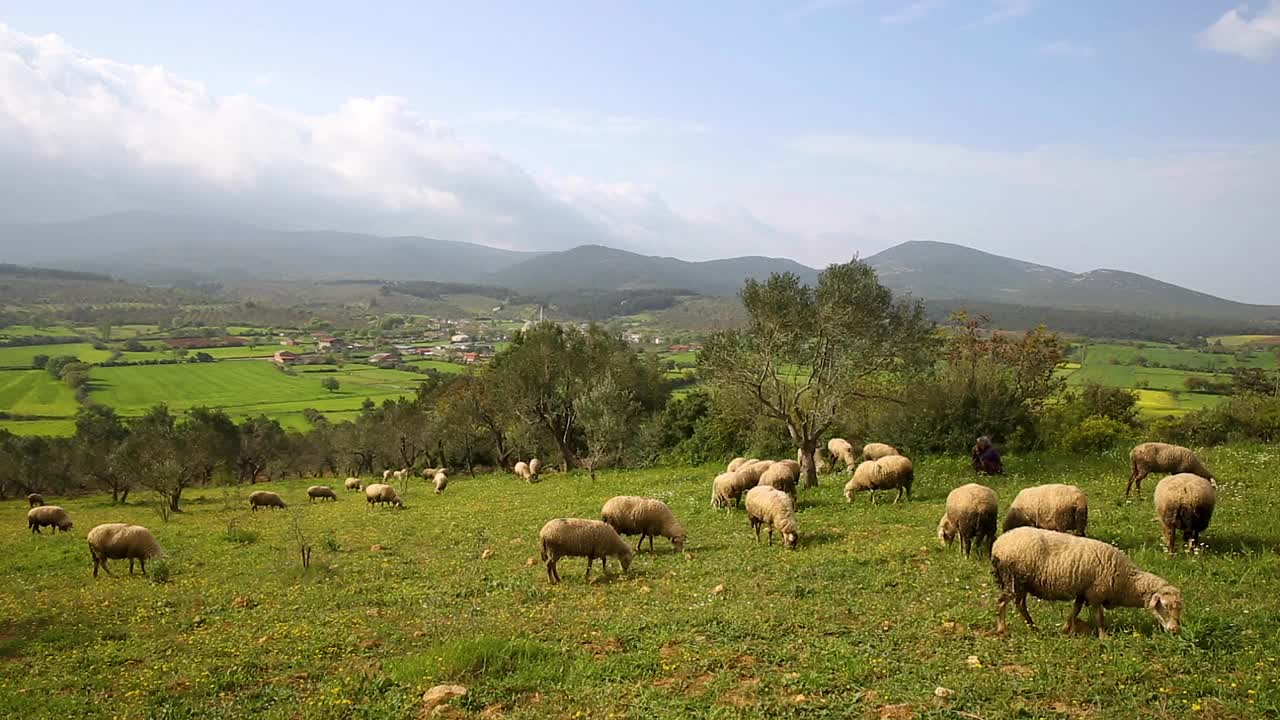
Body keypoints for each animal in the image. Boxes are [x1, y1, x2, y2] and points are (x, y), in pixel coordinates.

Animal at [993, 525, 1182, 635]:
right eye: (1165, 606)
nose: (1175, 630)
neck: (1128, 581)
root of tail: (998, 544)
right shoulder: (1096, 592)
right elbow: (1099, 617)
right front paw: (1103, 637)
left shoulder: (1083, 592)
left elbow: (1075, 611)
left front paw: (1066, 629)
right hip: (1014, 579)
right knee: (1003, 602)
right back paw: (1004, 629)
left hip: (1021, 583)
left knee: (1020, 605)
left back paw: (1032, 627)